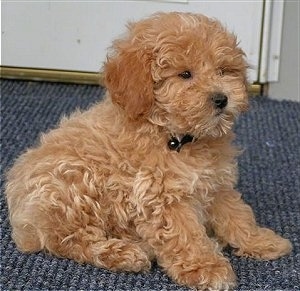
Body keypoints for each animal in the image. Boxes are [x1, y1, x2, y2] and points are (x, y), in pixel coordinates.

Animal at [5, 12, 290, 290]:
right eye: (185, 74)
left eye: (223, 70)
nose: (222, 99)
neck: (177, 137)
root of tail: (23, 219)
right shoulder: (160, 197)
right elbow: (186, 235)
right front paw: (206, 268)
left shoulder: (216, 184)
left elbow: (236, 215)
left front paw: (260, 241)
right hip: (74, 182)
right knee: (68, 240)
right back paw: (123, 253)